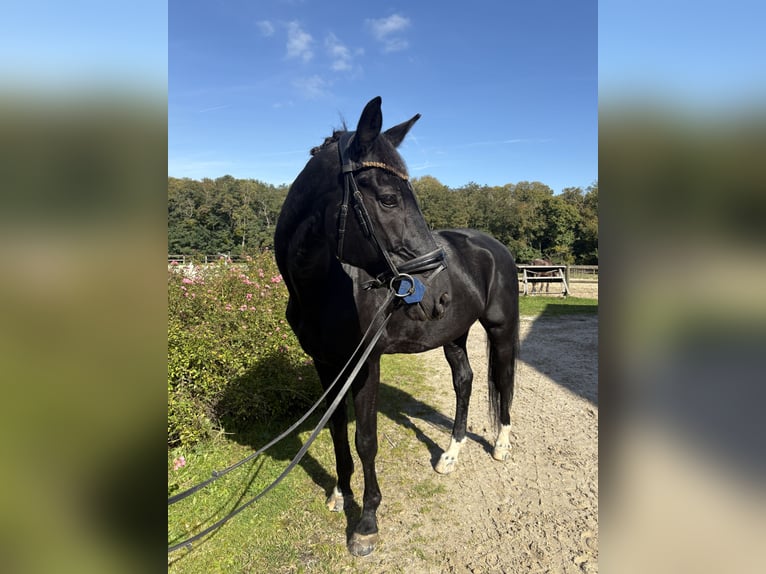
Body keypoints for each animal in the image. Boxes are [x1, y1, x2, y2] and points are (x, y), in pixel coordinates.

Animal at [274, 97, 520, 556]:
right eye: (388, 198)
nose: (438, 293)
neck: (323, 288)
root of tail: (492, 245)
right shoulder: (325, 365)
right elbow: (337, 431)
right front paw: (340, 492)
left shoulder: (365, 365)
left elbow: (365, 439)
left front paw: (367, 522)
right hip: (454, 335)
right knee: (465, 381)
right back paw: (450, 455)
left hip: (500, 330)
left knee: (504, 380)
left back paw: (500, 446)